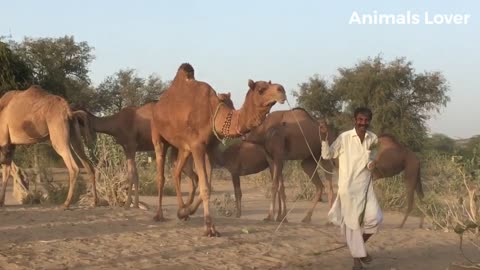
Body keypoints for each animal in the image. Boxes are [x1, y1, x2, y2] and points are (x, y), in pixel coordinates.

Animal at [150, 63, 284, 236]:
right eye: (261, 89)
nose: (281, 90)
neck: (213, 111)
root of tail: (157, 106)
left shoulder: (209, 148)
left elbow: (207, 185)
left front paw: (187, 213)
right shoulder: (197, 146)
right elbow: (205, 187)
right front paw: (209, 228)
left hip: (182, 147)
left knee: (176, 172)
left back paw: (182, 210)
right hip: (158, 136)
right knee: (161, 175)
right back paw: (159, 215)